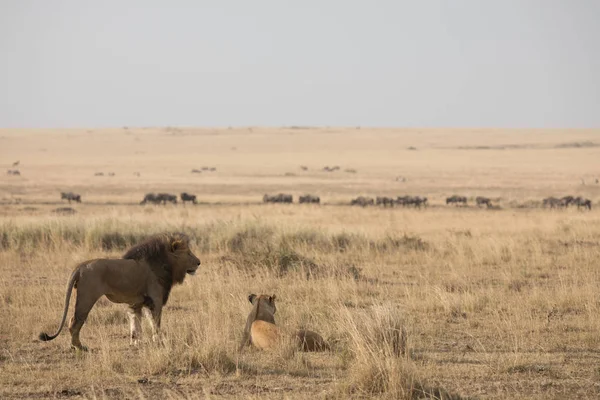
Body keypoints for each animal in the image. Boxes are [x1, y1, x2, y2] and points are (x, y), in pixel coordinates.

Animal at [38, 231, 200, 350]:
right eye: (189, 253)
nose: (199, 262)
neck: (166, 264)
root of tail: (81, 266)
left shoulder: (137, 303)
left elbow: (135, 325)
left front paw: (135, 343)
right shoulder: (156, 300)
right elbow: (155, 324)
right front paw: (159, 342)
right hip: (87, 297)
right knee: (75, 321)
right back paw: (79, 347)